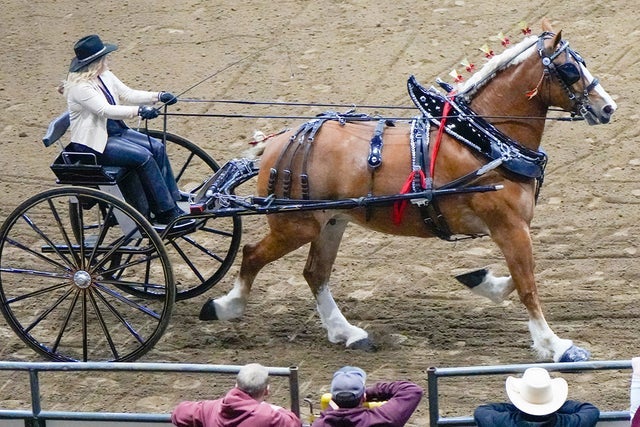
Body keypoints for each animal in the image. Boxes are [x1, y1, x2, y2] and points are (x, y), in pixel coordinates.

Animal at [199, 19, 617, 362]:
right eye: (570, 68)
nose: (608, 107)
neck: (483, 141)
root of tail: (278, 141)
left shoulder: (513, 229)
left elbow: (521, 275)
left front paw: (482, 281)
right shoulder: (509, 226)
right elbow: (528, 283)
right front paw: (555, 345)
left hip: (331, 221)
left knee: (315, 273)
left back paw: (346, 332)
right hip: (296, 225)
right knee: (253, 255)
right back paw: (226, 306)